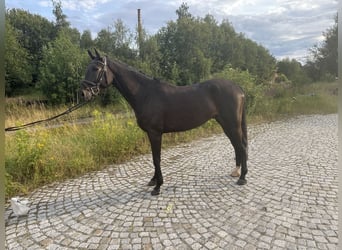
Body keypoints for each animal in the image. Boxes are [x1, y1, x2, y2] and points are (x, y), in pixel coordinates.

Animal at [81, 48, 247, 195]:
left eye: (96, 68)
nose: (83, 93)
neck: (145, 94)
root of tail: (237, 88)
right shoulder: (151, 134)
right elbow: (154, 158)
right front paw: (154, 180)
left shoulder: (155, 133)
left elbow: (156, 158)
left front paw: (157, 187)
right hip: (226, 124)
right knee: (237, 145)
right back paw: (236, 172)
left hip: (232, 124)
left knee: (241, 146)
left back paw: (242, 178)